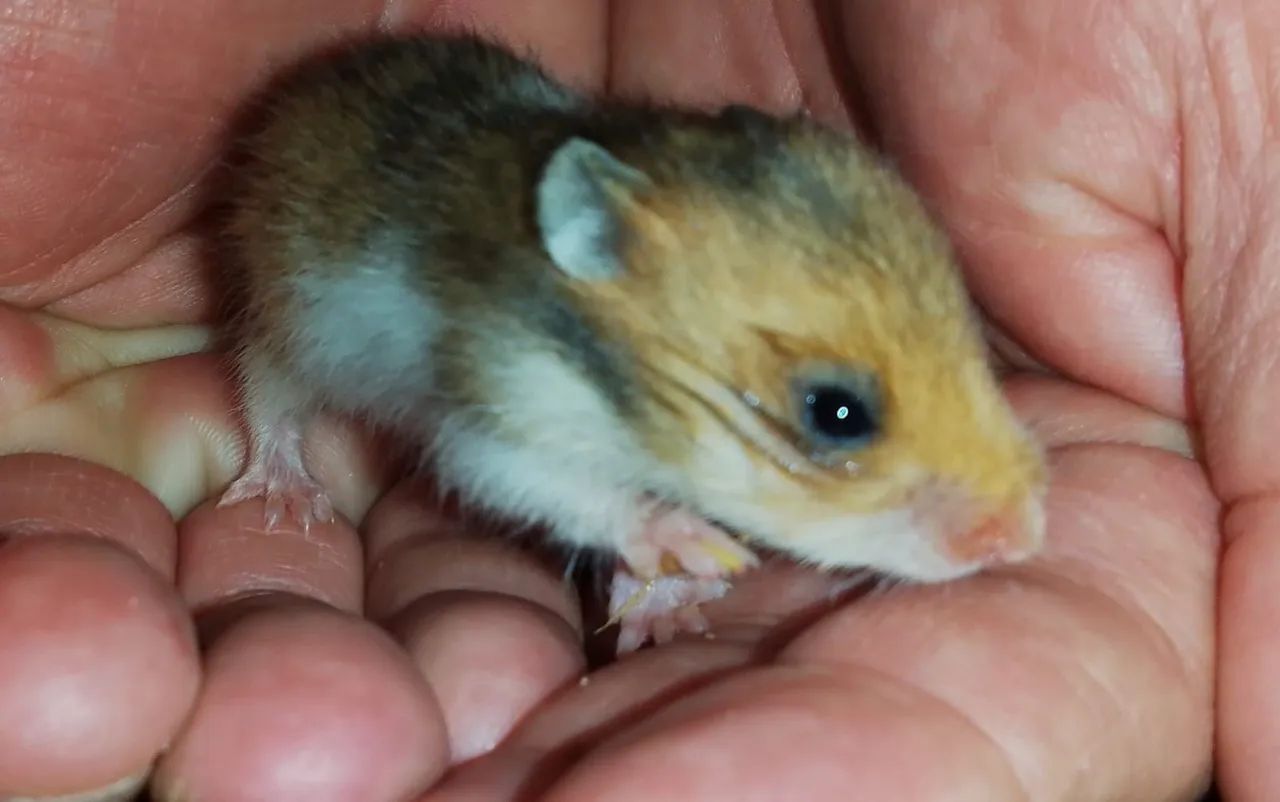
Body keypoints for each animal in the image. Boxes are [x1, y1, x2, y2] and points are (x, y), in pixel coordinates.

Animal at [216, 33, 1048, 653]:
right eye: (835, 412)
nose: (1022, 539)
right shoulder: (504, 411)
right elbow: (560, 486)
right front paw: (701, 546)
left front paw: (674, 604)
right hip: (290, 311)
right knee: (266, 390)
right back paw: (286, 501)